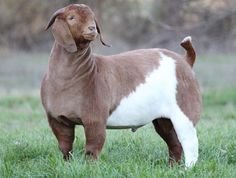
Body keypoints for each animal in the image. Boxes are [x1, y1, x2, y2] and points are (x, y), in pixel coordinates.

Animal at [40, 4, 201, 168]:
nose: (92, 28)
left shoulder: (95, 119)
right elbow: (65, 146)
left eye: (93, 18)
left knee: (189, 141)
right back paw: (171, 167)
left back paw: (187, 169)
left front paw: (89, 168)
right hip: (163, 118)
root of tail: (184, 60)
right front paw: (67, 166)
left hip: (184, 109)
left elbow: (92, 147)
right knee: (173, 141)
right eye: (71, 17)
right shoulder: (57, 120)